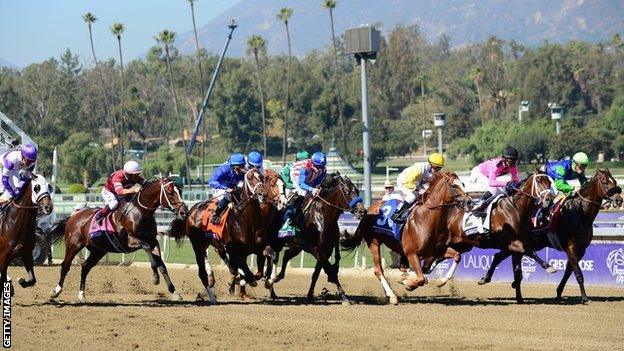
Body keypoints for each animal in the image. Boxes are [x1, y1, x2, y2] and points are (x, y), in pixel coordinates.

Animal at [47, 179, 186, 302]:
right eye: (170, 192)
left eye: (179, 191)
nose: (183, 212)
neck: (139, 212)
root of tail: (73, 216)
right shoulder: (130, 241)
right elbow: (147, 249)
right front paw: (155, 277)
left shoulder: (153, 241)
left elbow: (162, 265)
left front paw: (174, 292)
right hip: (73, 245)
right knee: (65, 266)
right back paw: (56, 291)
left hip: (98, 251)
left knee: (85, 267)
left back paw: (82, 295)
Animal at [168, 169, 268, 304]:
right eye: (251, 178)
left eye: (262, 177)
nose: (263, 194)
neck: (247, 219)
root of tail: (191, 210)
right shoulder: (235, 251)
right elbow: (248, 274)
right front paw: (237, 280)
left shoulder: (258, 249)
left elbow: (258, 273)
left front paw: (236, 281)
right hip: (197, 243)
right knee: (204, 262)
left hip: (211, 242)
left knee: (215, 253)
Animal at [268, 174, 366, 306]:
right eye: (347, 192)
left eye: (357, 191)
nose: (362, 211)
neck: (323, 217)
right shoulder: (317, 250)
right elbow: (331, 271)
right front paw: (344, 297)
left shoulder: (326, 250)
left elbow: (317, 273)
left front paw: (310, 295)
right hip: (276, 243)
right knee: (272, 259)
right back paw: (270, 283)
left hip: (296, 246)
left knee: (286, 255)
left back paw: (276, 280)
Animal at [342, 172, 472, 304]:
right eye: (454, 185)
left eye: (463, 184)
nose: (469, 202)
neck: (427, 218)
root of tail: (368, 210)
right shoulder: (412, 253)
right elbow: (421, 278)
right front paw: (408, 283)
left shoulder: (437, 250)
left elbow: (457, 256)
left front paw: (440, 281)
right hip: (374, 242)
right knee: (378, 270)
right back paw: (392, 295)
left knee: (401, 268)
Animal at [478, 169, 620, 304]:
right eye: (605, 182)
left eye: (614, 181)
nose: (619, 199)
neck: (580, 213)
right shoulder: (571, 246)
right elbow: (578, 273)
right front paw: (584, 298)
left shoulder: (581, 249)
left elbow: (569, 271)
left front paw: (559, 292)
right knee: (504, 258)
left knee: (500, 257)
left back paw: (491, 280)